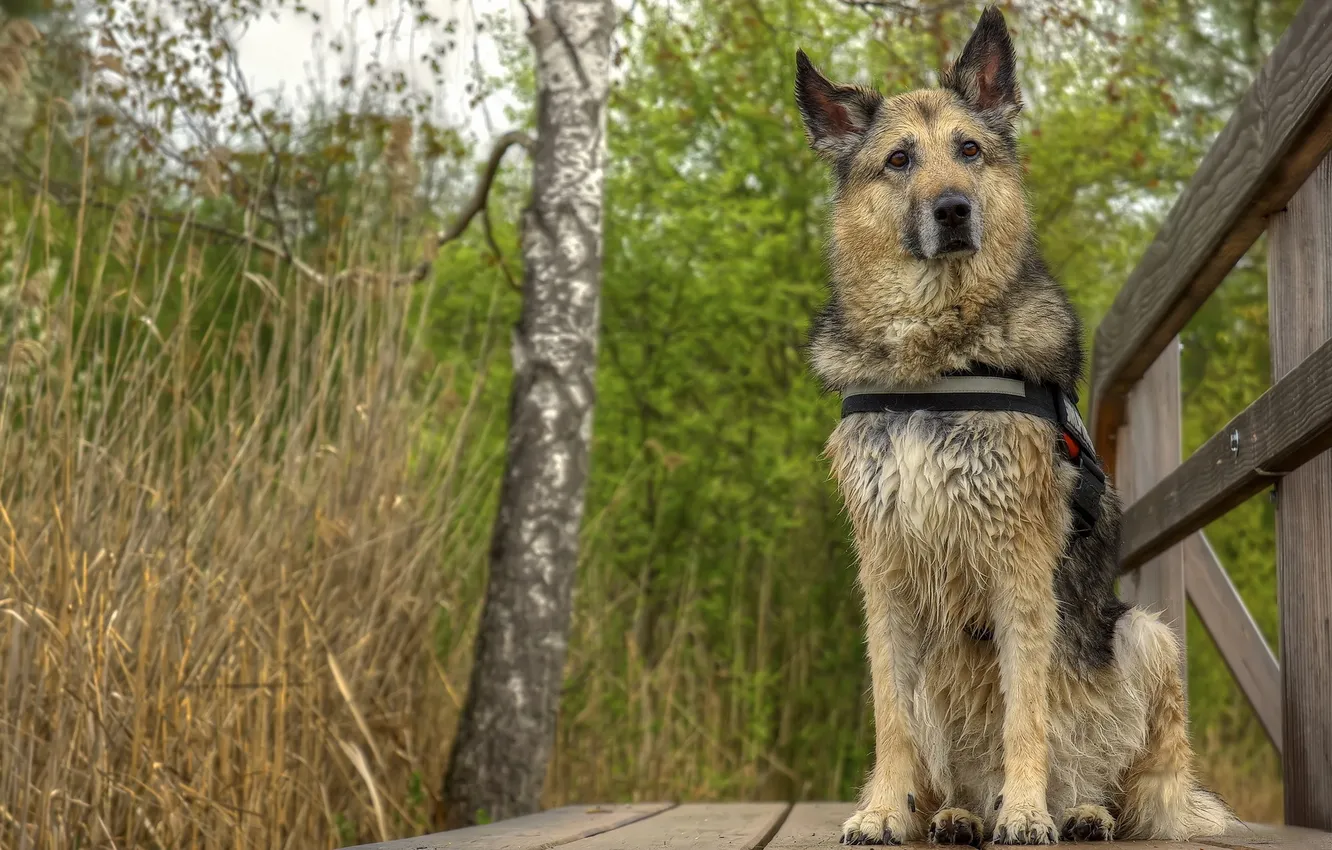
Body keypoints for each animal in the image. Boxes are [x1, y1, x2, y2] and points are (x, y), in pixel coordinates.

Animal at [793, 4, 1230, 847]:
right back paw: (960, 811)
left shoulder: (1019, 564)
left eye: (970, 151)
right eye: (899, 160)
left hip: (1143, 634)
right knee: (957, 771)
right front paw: (881, 808)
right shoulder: (885, 575)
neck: (936, 360)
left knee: (1121, 777)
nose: (953, 209)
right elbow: (890, 719)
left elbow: (1026, 711)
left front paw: (1026, 812)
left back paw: (1073, 809)